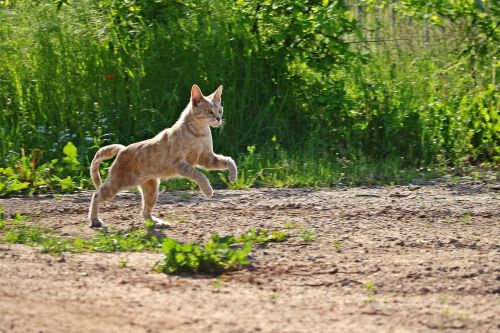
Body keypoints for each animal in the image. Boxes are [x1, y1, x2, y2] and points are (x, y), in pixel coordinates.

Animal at [89, 84, 237, 227]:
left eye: (220, 110)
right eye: (209, 111)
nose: (218, 119)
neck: (199, 133)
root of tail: (122, 149)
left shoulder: (207, 158)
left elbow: (228, 160)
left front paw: (233, 176)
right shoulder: (180, 163)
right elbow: (199, 175)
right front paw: (208, 191)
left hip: (152, 190)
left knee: (144, 212)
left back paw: (159, 223)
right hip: (118, 183)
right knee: (96, 195)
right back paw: (95, 221)